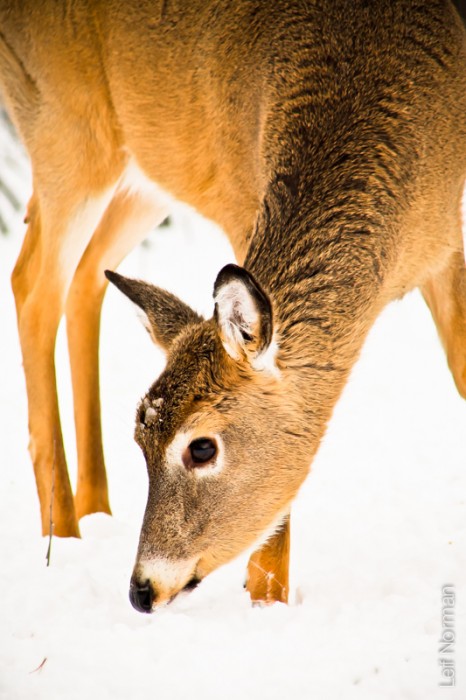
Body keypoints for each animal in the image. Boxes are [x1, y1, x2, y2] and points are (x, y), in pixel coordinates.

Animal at [0, 0, 465, 613]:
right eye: (141, 443)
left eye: (201, 448)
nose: (141, 591)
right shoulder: (243, 205)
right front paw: (267, 607)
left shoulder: (448, 239)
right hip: (62, 124)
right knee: (33, 280)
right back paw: (63, 532)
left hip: (145, 172)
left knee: (86, 275)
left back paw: (95, 511)